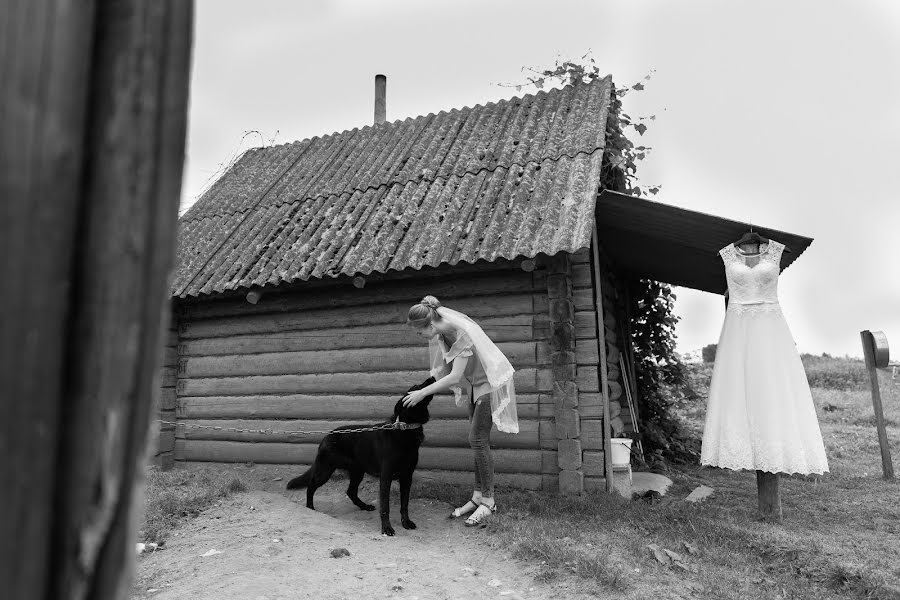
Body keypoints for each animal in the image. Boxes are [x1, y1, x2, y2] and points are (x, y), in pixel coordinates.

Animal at [284, 378, 432, 536]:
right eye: (417, 386)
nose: (431, 378)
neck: (405, 428)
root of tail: (327, 436)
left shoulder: (407, 477)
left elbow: (404, 504)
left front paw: (406, 522)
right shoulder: (386, 477)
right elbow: (385, 507)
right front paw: (386, 528)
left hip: (357, 472)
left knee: (351, 491)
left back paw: (364, 506)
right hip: (325, 471)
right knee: (311, 486)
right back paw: (310, 508)